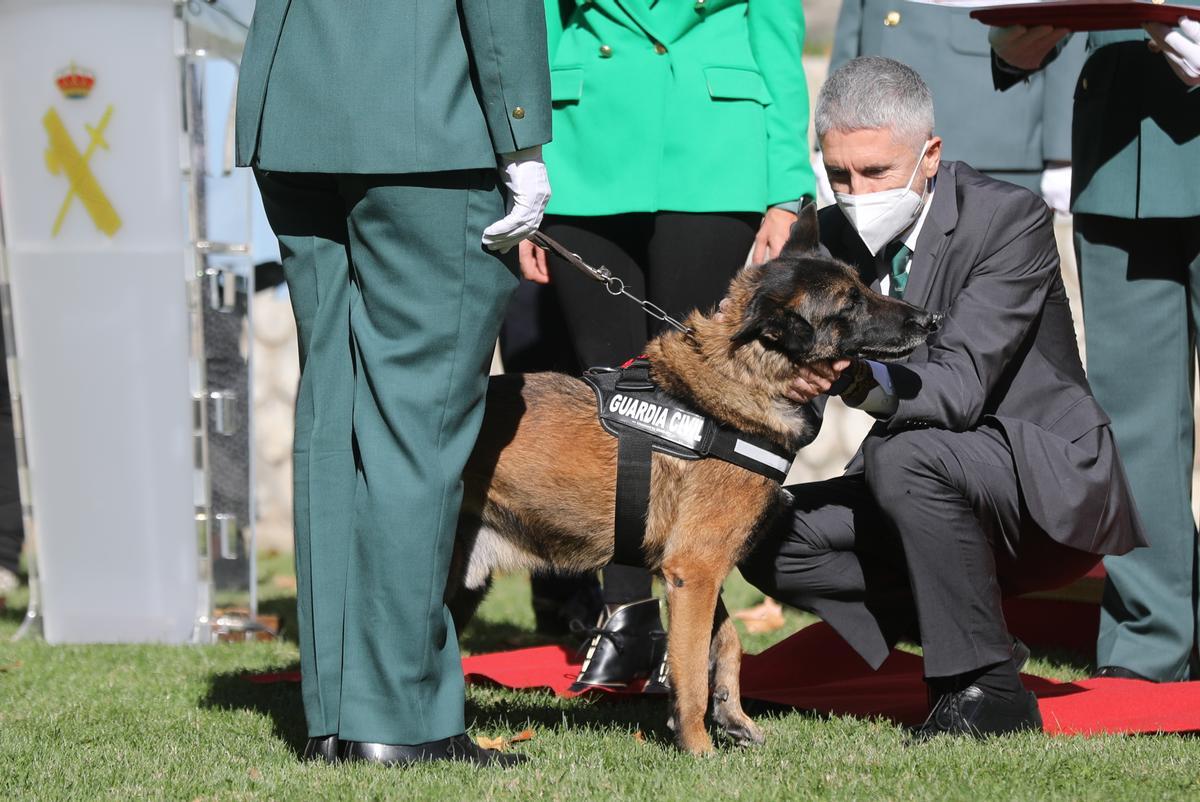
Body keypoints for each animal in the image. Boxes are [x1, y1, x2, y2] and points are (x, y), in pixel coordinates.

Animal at [451, 205, 936, 753]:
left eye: (862, 287)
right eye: (849, 302)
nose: (929, 320)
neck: (741, 380)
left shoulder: (699, 571)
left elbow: (726, 643)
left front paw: (733, 717)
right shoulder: (695, 570)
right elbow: (689, 666)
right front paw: (697, 744)